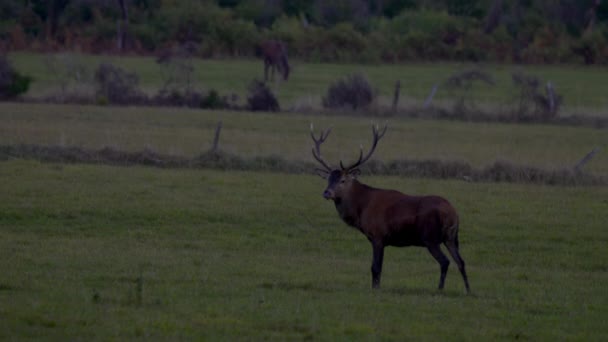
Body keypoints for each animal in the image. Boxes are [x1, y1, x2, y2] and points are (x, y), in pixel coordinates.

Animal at [312, 123, 472, 294]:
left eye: (343, 180)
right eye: (328, 179)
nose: (327, 192)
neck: (361, 210)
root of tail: (453, 213)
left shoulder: (378, 236)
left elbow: (375, 267)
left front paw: (375, 289)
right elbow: (378, 267)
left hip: (430, 237)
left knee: (445, 261)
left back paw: (440, 289)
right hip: (451, 237)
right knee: (461, 261)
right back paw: (468, 290)